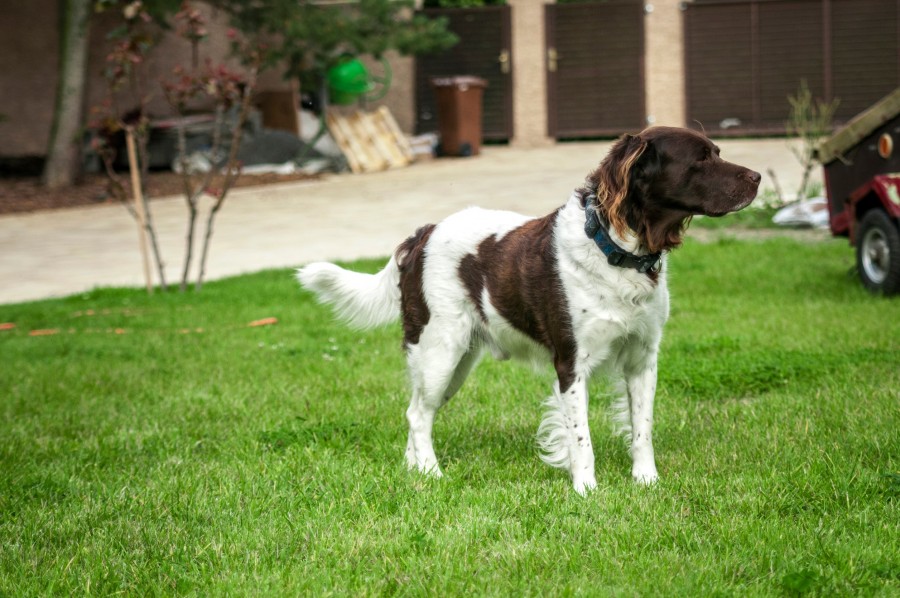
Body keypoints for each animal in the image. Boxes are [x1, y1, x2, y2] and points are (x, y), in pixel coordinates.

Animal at [300, 127, 760, 496]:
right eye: (701, 159)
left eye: (717, 151)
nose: (757, 177)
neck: (617, 251)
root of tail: (422, 234)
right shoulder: (571, 364)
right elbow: (581, 438)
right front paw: (586, 490)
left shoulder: (643, 359)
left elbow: (642, 428)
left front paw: (646, 481)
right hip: (440, 351)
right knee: (417, 413)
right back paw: (431, 474)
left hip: (455, 364)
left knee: (419, 412)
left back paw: (414, 469)